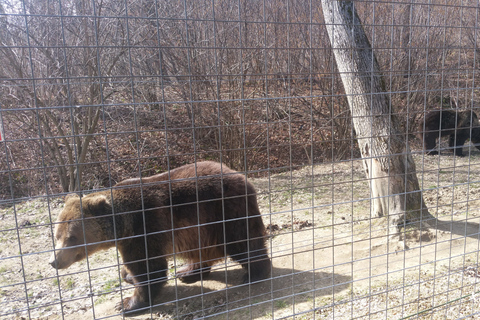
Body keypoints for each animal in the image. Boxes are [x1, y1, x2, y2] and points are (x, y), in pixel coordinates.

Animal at [51, 161, 274, 312]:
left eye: (72, 237)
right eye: (57, 235)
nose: (54, 261)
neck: (123, 226)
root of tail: (241, 176)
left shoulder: (145, 228)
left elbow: (149, 268)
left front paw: (127, 303)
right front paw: (127, 276)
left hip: (226, 211)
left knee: (243, 241)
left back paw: (254, 274)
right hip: (202, 226)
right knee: (200, 249)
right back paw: (188, 272)